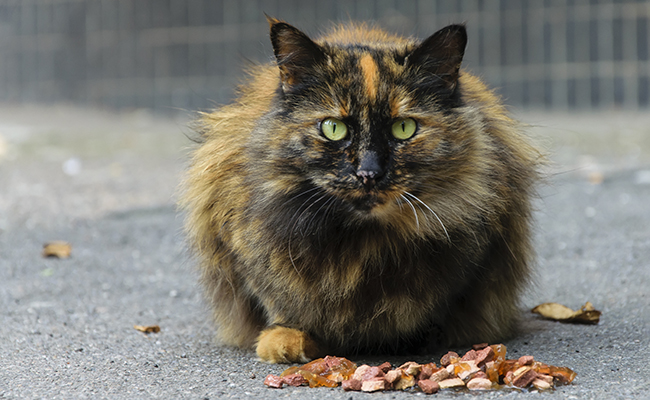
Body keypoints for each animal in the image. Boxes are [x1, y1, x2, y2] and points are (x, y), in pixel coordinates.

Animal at [180, 18, 540, 362]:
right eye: (333, 128)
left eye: (404, 128)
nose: (368, 173)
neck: (362, 244)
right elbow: (278, 300)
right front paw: (286, 338)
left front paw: (412, 339)